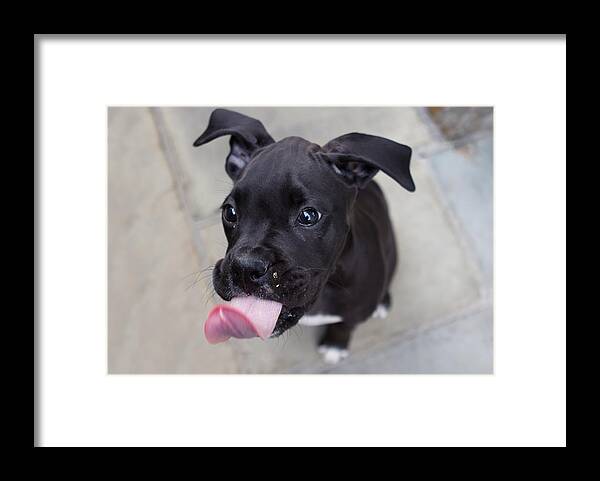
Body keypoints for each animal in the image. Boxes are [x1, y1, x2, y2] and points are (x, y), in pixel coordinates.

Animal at [195, 109, 414, 364]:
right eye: (230, 212)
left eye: (309, 216)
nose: (244, 268)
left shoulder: (355, 312)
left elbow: (344, 325)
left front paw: (335, 345)